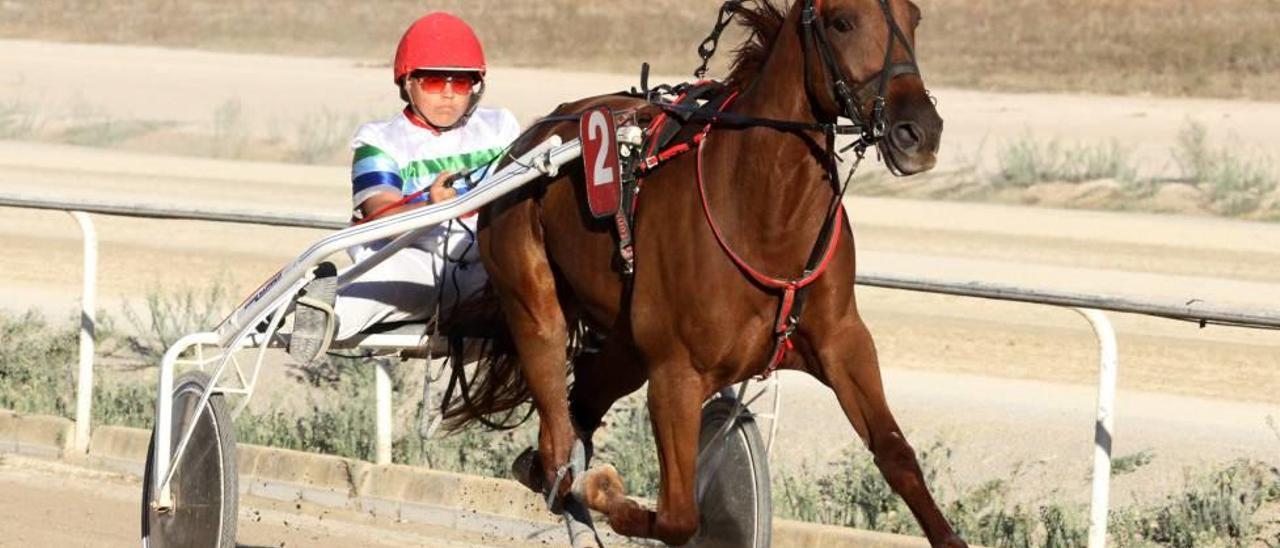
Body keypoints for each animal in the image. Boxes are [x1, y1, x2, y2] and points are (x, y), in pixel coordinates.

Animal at [460, 0, 962, 542]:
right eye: (842, 22)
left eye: (914, 18)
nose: (919, 132)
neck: (765, 213)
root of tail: (531, 140)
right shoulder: (676, 374)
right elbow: (679, 517)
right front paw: (605, 490)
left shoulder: (844, 343)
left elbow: (896, 454)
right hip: (533, 303)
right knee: (555, 444)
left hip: (625, 348)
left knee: (573, 417)